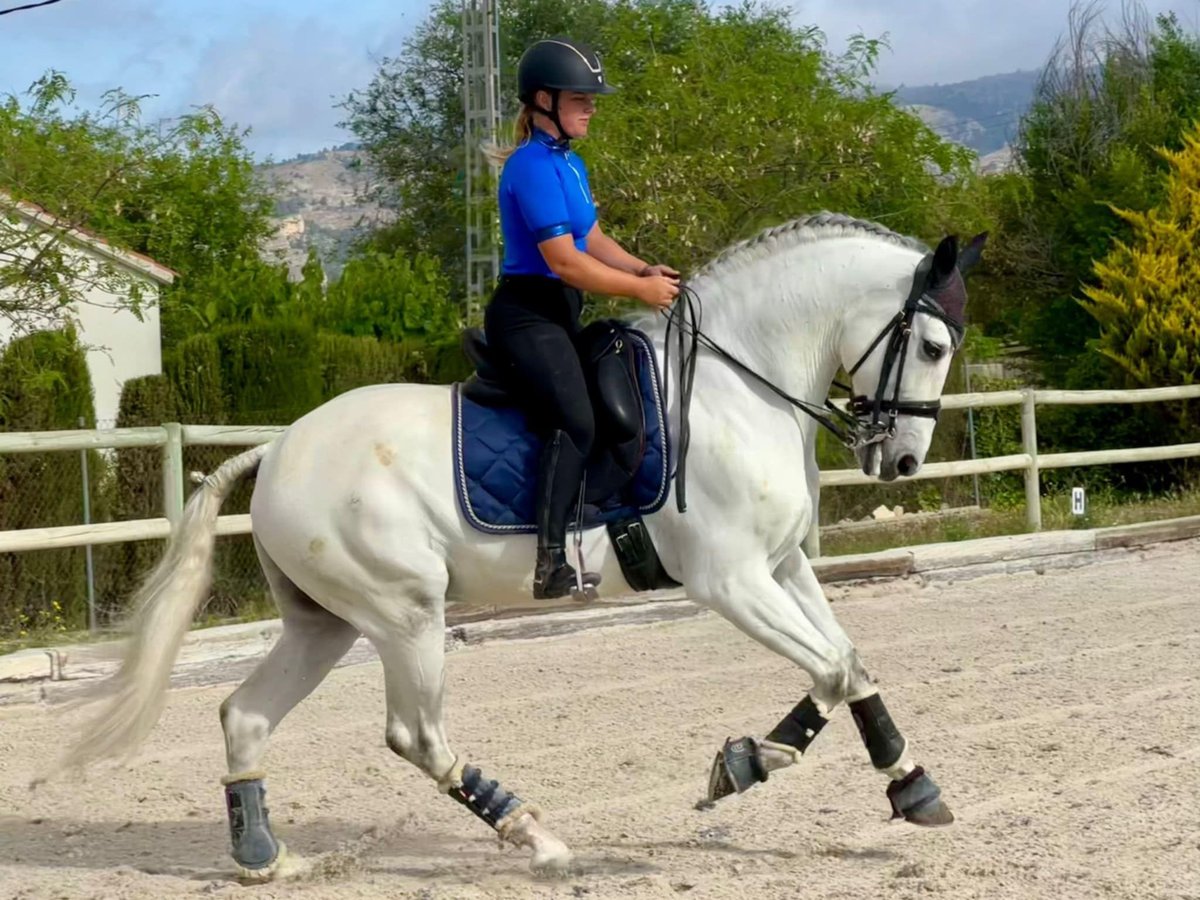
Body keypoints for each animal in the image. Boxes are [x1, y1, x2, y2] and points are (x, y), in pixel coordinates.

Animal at [54, 213, 984, 883]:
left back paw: (264, 858)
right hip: (404, 613)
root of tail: (278, 448)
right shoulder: (730, 580)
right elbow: (825, 669)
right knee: (415, 735)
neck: (738, 387)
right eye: (934, 346)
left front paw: (911, 785)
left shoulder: (784, 566)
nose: (901, 461)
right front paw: (747, 762)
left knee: (245, 716)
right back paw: (536, 837)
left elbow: (851, 662)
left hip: (326, 623)